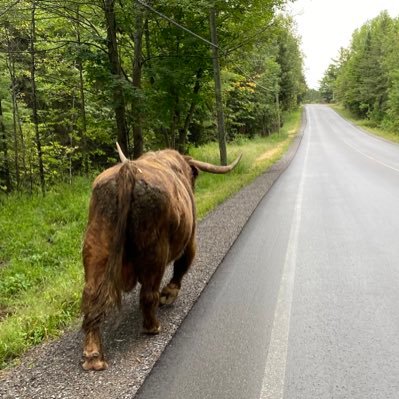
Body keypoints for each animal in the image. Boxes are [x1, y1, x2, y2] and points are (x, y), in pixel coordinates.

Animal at [81, 145, 241, 372]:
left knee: (92, 297)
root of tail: (128, 172)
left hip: (97, 246)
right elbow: (182, 266)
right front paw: (169, 294)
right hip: (155, 250)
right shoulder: (190, 240)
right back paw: (152, 326)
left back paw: (93, 355)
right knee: (148, 293)